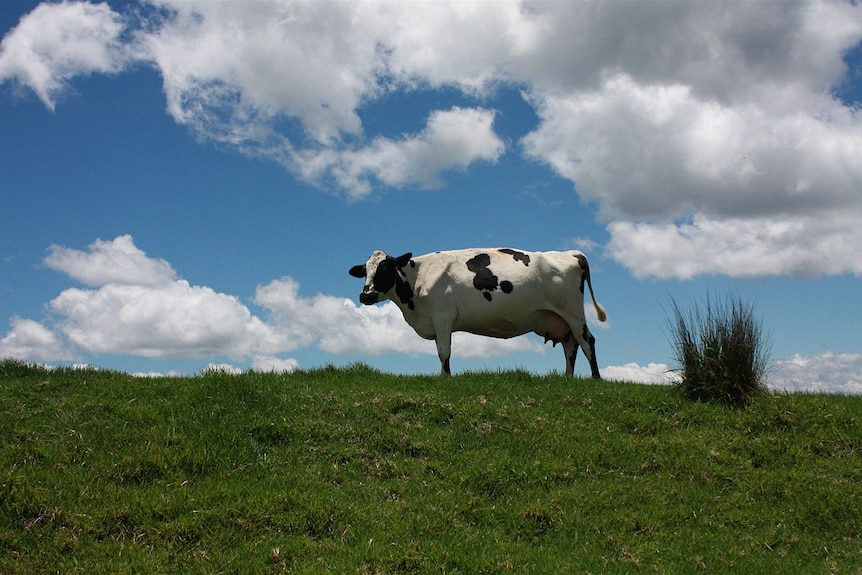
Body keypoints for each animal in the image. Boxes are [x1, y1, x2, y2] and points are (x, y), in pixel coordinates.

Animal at [350, 248, 608, 378]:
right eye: (365, 271)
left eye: (385, 269)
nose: (365, 295)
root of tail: (570, 253)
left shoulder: (443, 317)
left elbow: (444, 352)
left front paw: (445, 378)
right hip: (561, 319)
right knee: (571, 346)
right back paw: (567, 379)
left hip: (573, 312)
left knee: (587, 341)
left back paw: (595, 378)